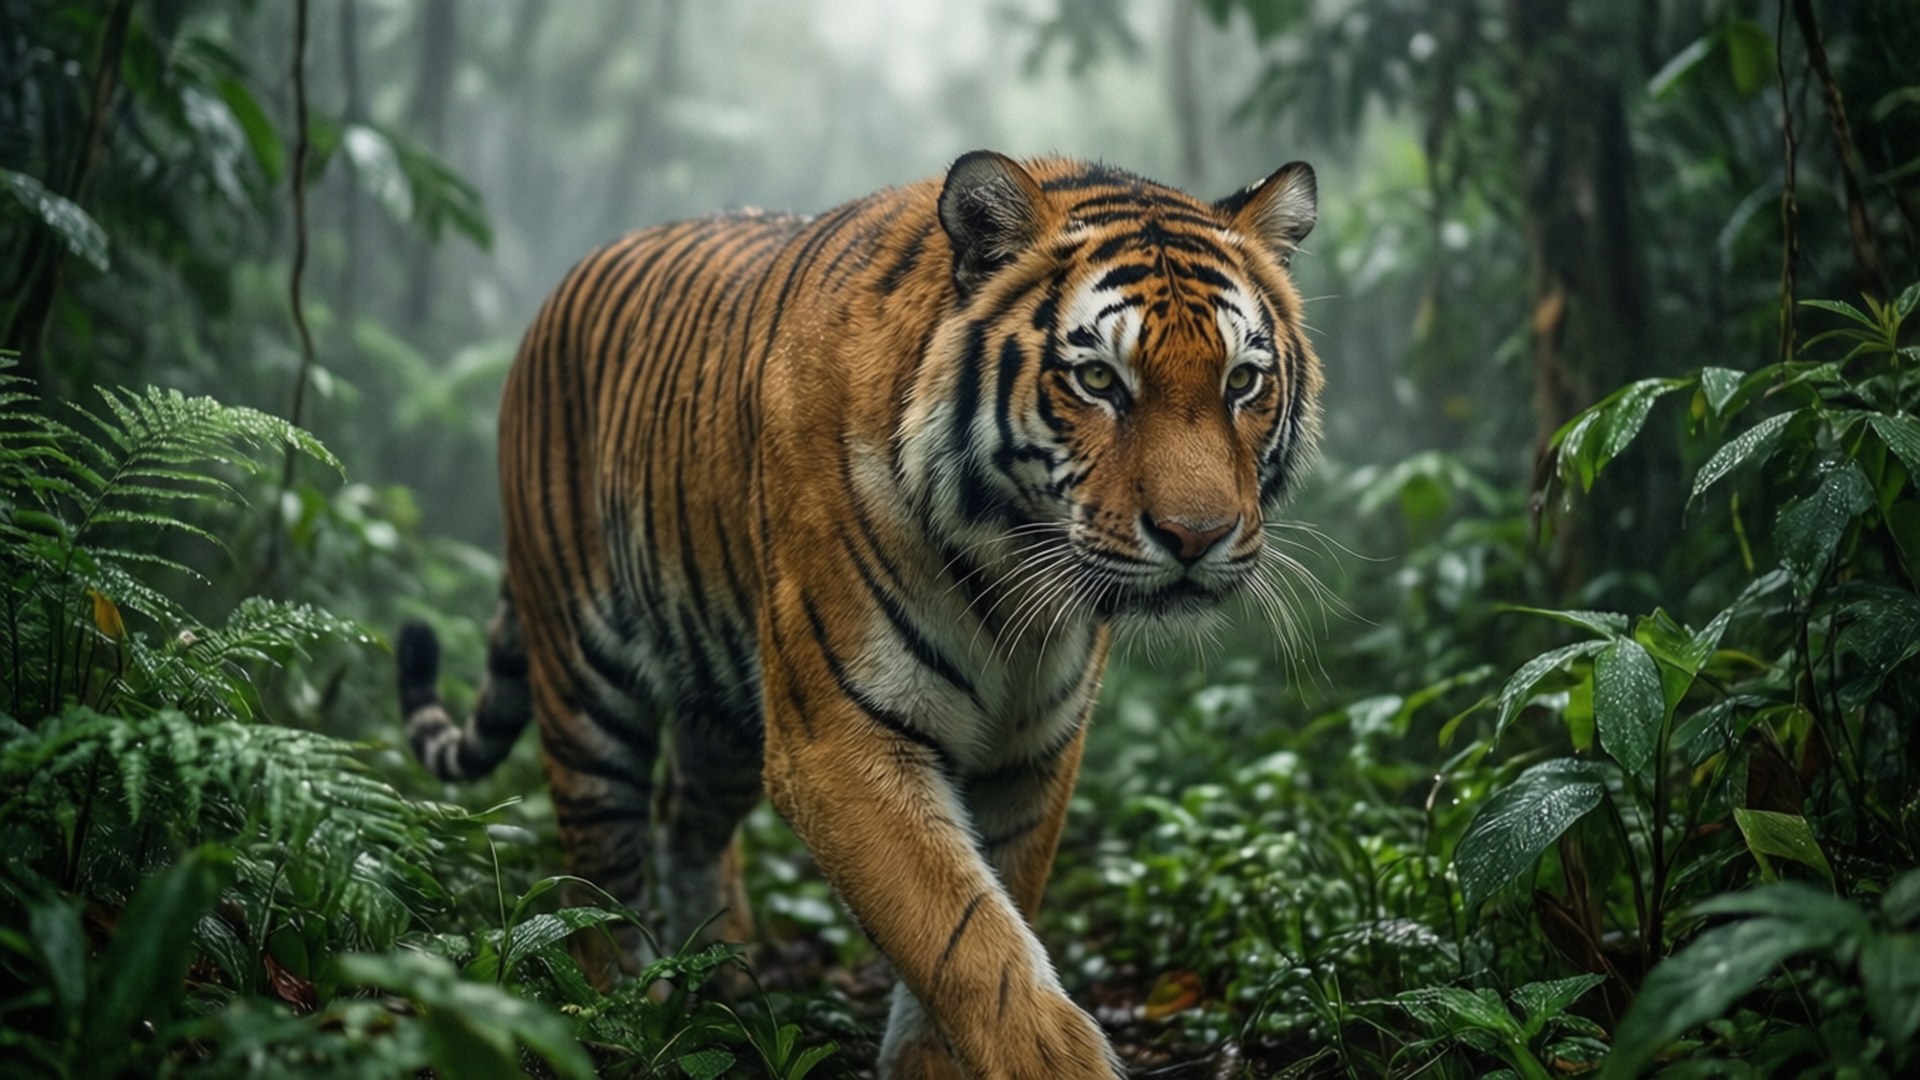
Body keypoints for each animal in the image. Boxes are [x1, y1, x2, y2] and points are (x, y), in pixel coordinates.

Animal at [396, 150, 1321, 1079]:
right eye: (1099, 380)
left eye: (1242, 381)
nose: (1197, 536)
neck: (1012, 575)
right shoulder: (839, 740)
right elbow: (966, 938)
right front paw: (1049, 1059)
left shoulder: (1033, 751)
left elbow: (991, 907)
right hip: (585, 687)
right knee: (596, 879)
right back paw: (623, 1016)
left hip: (722, 715)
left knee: (682, 821)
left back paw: (711, 984)